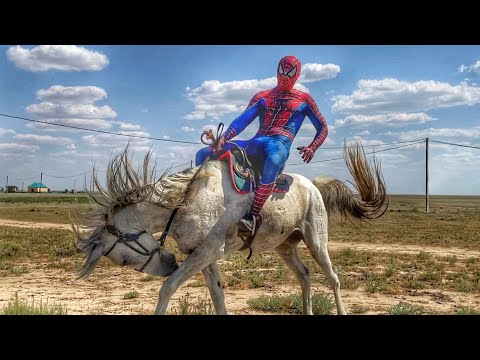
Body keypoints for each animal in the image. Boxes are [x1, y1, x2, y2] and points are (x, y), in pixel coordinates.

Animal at [76, 142, 390, 314]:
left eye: (123, 260)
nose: (167, 264)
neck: (186, 200)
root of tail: (313, 185)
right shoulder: (202, 256)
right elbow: (217, 297)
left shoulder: (209, 251)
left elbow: (168, 287)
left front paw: (167, 281)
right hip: (285, 247)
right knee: (305, 276)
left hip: (316, 241)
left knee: (333, 278)